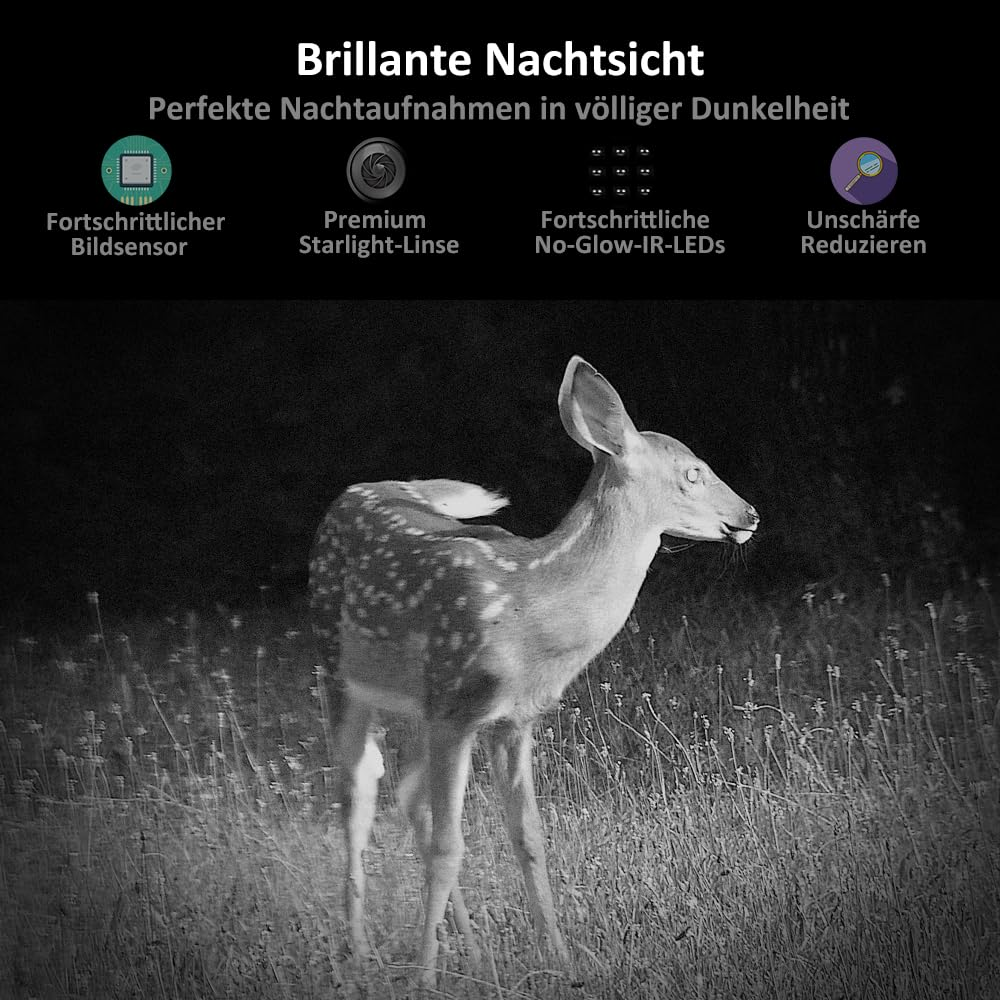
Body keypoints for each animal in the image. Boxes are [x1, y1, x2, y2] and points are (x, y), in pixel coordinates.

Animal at [308, 355, 759, 986]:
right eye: (693, 473)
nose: (749, 515)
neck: (529, 606)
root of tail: (355, 489)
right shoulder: (458, 708)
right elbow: (451, 847)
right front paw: (423, 979)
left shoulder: (512, 719)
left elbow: (528, 838)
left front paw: (563, 959)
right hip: (339, 669)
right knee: (356, 800)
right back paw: (362, 953)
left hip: (418, 703)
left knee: (407, 795)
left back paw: (471, 952)